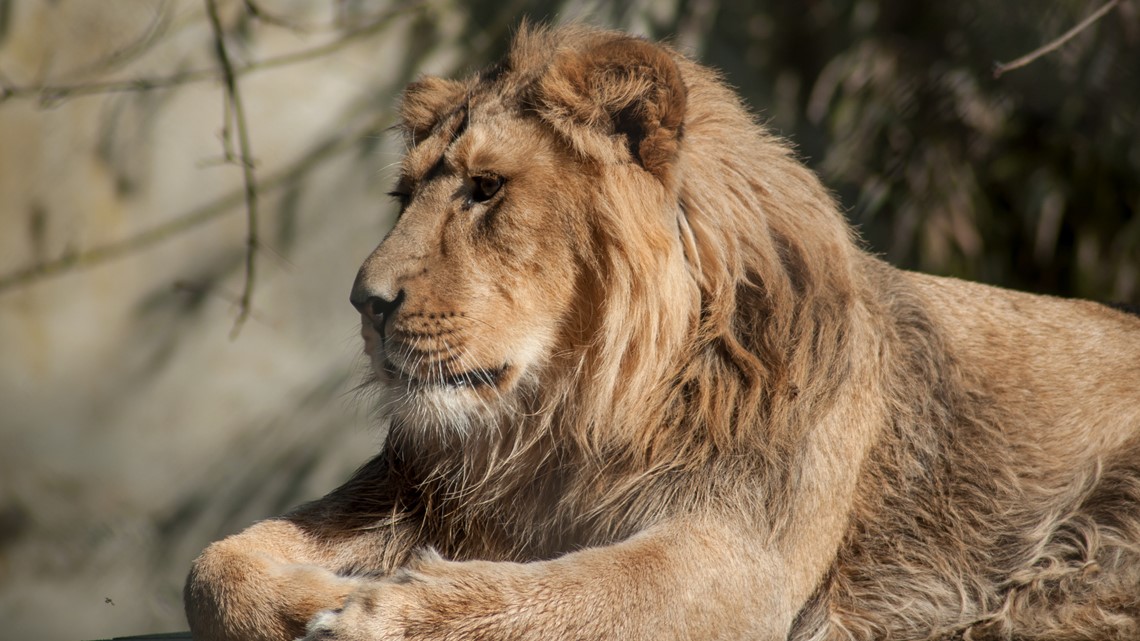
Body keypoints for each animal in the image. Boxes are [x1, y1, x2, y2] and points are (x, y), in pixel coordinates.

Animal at [184, 22, 1140, 634]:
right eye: (404, 194)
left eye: (486, 189)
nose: (364, 301)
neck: (571, 413)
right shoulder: (411, 488)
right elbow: (209, 569)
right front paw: (307, 596)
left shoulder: (738, 555)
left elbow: (584, 592)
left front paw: (384, 611)